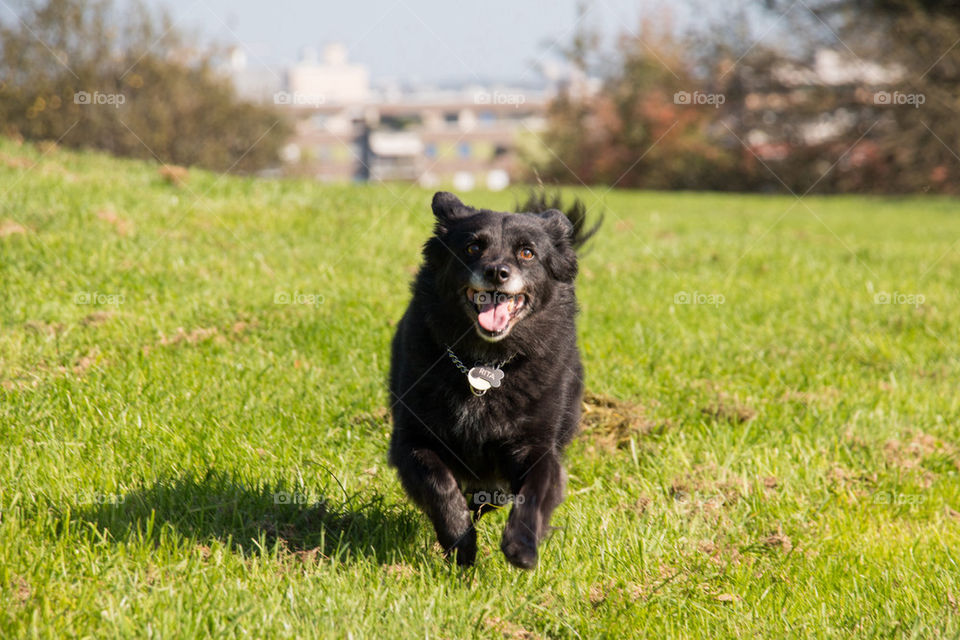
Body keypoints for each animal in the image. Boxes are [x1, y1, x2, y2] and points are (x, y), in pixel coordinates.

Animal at [386, 191, 596, 568]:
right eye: (473, 247)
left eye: (527, 252)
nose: (496, 272)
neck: (485, 362)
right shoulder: (412, 440)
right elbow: (439, 484)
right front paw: (461, 543)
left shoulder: (537, 446)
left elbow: (535, 491)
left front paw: (522, 546)